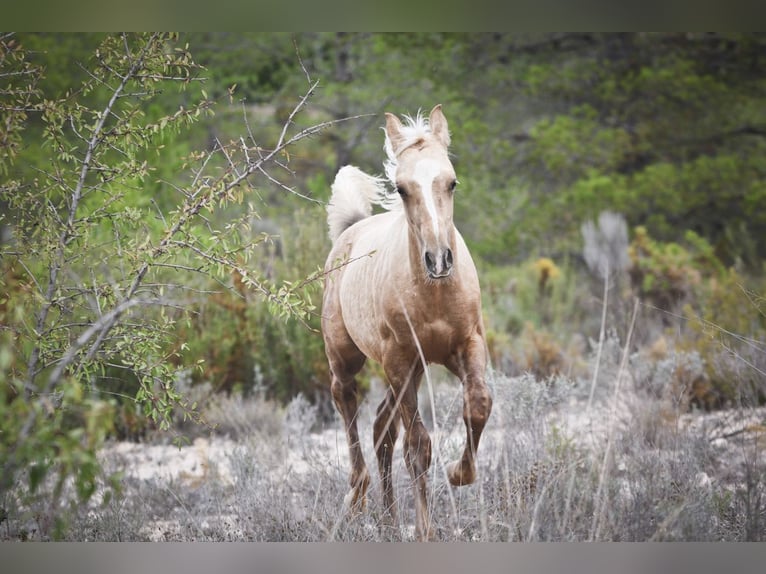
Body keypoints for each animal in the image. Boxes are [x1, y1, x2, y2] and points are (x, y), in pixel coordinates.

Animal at [322, 106, 492, 544]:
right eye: (401, 188)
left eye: (452, 181)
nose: (439, 259)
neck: (434, 295)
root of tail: (350, 229)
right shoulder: (399, 360)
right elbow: (419, 446)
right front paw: (426, 530)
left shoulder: (466, 347)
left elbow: (478, 406)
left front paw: (459, 473)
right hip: (350, 359)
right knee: (347, 404)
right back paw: (358, 499)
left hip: (412, 372)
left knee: (382, 428)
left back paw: (388, 520)